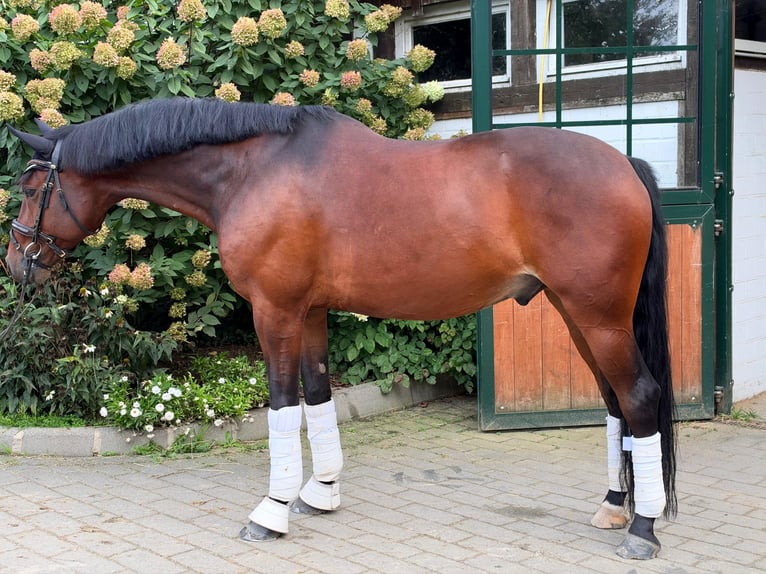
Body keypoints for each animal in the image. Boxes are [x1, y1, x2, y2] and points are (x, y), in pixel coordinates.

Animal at [5, 97, 676, 560]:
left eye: (32, 187)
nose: (17, 264)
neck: (253, 170)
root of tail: (624, 164)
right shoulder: (310, 311)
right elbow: (319, 393)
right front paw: (320, 492)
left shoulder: (274, 310)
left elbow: (282, 404)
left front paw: (272, 510)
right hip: (577, 314)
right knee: (614, 402)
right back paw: (615, 507)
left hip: (598, 317)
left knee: (640, 397)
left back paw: (643, 528)